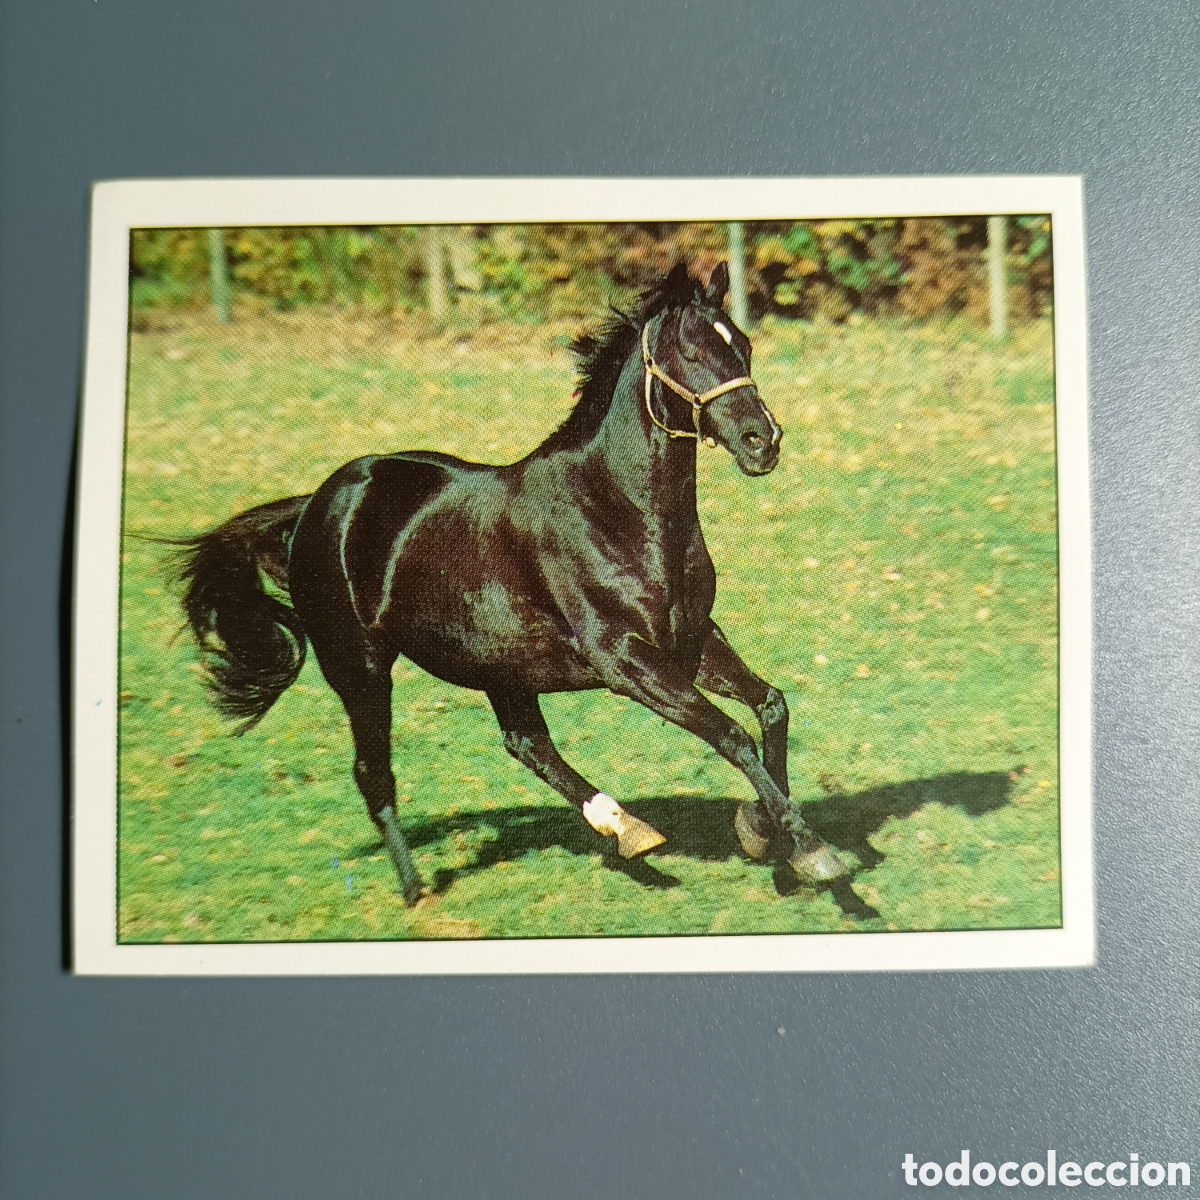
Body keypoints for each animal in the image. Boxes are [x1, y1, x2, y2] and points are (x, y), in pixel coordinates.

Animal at [175, 261, 850, 906]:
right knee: (375, 771)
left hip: (499, 665)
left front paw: (765, 832)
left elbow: (771, 708)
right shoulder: (626, 661)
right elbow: (732, 735)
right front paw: (813, 852)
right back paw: (415, 889)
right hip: (361, 669)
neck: (614, 510)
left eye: (743, 344)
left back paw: (626, 829)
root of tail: (314, 508)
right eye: (690, 351)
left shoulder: (690, 641)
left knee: (527, 744)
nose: (763, 440)